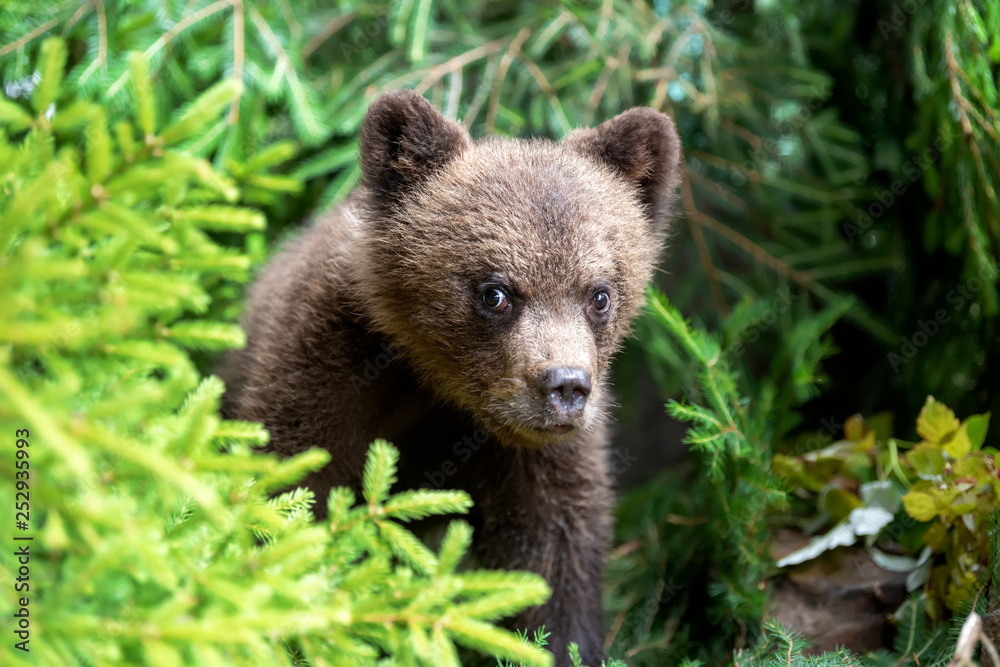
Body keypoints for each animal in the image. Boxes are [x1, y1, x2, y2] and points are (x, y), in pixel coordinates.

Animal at [220, 90, 684, 667]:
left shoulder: (534, 453)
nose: (565, 387)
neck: (438, 387)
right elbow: (295, 486)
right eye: (495, 291)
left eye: (599, 293)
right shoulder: (323, 364)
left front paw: (558, 640)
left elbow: (554, 548)